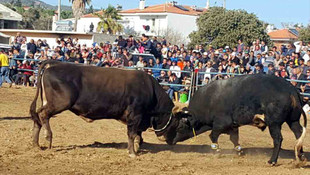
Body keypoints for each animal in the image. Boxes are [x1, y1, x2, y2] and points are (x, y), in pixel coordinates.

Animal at [29, 60, 183, 157]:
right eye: (179, 124)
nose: (175, 142)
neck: (150, 89)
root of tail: (53, 64)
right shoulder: (135, 115)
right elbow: (132, 134)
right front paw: (132, 152)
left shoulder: (139, 117)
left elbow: (138, 135)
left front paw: (137, 147)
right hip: (61, 102)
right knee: (43, 115)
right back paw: (48, 138)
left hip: (48, 101)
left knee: (37, 117)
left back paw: (36, 144)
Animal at [172, 74, 308, 165]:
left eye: (179, 126)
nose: (170, 140)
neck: (209, 100)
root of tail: (291, 90)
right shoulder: (233, 126)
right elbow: (234, 138)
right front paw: (239, 150)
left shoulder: (221, 124)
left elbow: (213, 135)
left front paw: (216, 150)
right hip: (293, 121)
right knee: (298, 134)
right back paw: (301, 156)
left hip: (274, 123)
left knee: (278, 139)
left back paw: (272, 160)